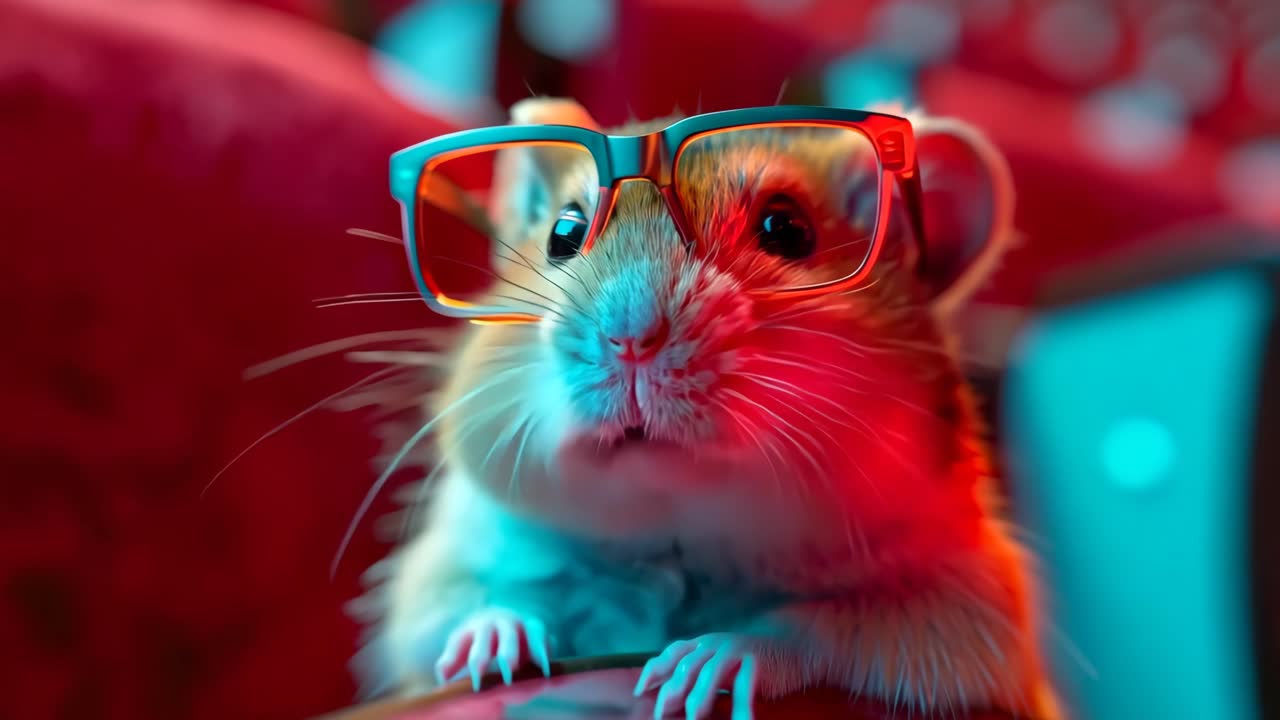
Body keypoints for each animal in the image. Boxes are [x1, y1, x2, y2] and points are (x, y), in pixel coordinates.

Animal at [350, 97, 1062, 720]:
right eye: (564, 231)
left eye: (786, 228)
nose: (631, 338)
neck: (677, 543)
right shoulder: (434, 571)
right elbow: (459, 606)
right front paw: (495, 649)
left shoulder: (973, 620)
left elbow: (824, 625)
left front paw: (695, 671)